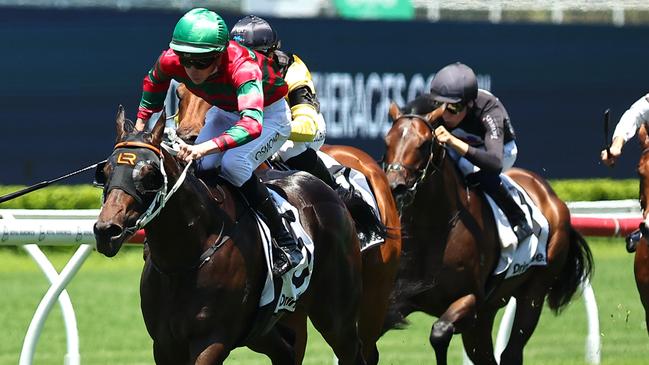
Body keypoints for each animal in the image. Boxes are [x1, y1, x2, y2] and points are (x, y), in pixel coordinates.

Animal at [92, 106, 368, 362]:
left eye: (150, 174)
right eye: (104, 172)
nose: (107, 230)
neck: (185, 258)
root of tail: (330, 191)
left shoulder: (212, 340)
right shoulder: (164, 344)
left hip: (336, 316)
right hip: (263, 329)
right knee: (286, 351)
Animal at [382, 97, 596, 364]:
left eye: (422, 144)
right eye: (387, 141)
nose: (395, 186)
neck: (434, 228)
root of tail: (552, 195)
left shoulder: (470, 300)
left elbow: (439, 333)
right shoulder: (400, 298)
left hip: (533, 293)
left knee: (511, 351)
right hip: (488, 311)